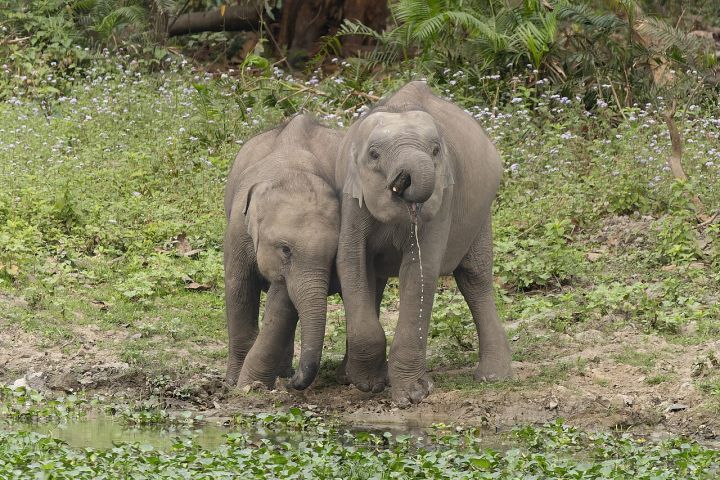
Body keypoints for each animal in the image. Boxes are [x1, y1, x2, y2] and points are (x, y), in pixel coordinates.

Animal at [224, 114, 342, 391]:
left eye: (334, 257)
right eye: (286, 250)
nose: (295, 382)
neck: (291, 171)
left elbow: (283, 303)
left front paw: (252, 386)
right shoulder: (238, 228)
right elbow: (238, 287)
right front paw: (235, 384)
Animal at [333, 81, 513, 405]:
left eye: (436, 150)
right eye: (374, 154)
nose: (403, 180)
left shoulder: (443, 198)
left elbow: (419, 270)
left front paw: (413, 394)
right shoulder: (352, 197)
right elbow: (351, 262)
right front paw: (367, 383)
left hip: (481, 214)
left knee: (474, 278)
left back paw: (494, 376)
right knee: (373, 281)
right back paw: (348, 377)